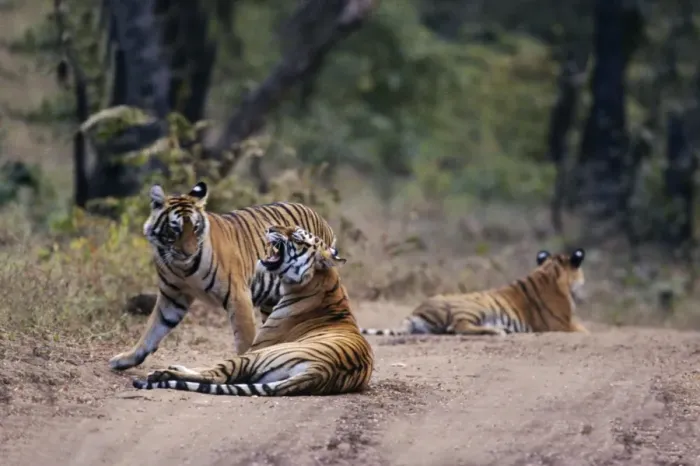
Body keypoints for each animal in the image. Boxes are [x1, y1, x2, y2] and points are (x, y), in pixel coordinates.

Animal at [109, 181, 338, 372]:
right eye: (175, 229)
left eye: (196, 228)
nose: (189, 252)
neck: (183, 268)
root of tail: (320, 217)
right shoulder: (172, 298)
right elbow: (152, 330)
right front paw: (126, 359)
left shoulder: (238, 295)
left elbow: (245, 340)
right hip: (271, 301)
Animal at [131, 224, 374, 396]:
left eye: (297, 238)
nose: (271, 228)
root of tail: (321, 371)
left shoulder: (258, 345)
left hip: (256, 355)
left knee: (216, 376)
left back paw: (161, 373)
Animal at [360, 248, 589, 337]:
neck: (550, 271)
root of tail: (415, 312)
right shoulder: (562, 324)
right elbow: (585, 329)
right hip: (474, 308)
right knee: (458, 326)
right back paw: (498, 331)